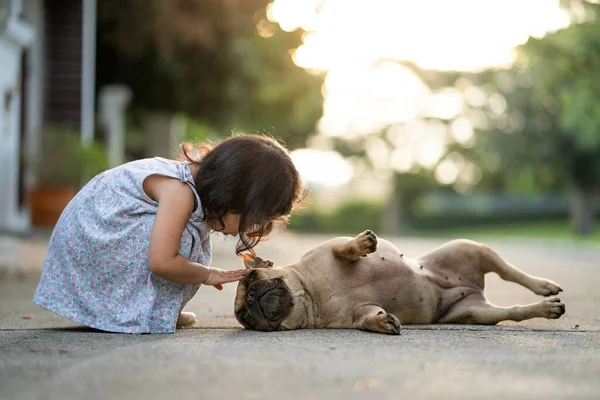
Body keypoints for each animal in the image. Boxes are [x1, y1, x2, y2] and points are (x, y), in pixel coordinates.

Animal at [234, 230, 568, 332]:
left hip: (469, 248)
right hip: (476, 312)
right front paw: (384, 322)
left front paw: (363, 244)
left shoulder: (331, 249)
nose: (251, 300)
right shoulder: (358, 314)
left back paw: (545, 286)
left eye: (252, 276)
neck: (311, 293)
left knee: (510, 272)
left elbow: (347, 249)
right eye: (244, 317)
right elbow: (368, 318)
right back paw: (547, 307)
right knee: (512, 311)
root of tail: (472, 287)